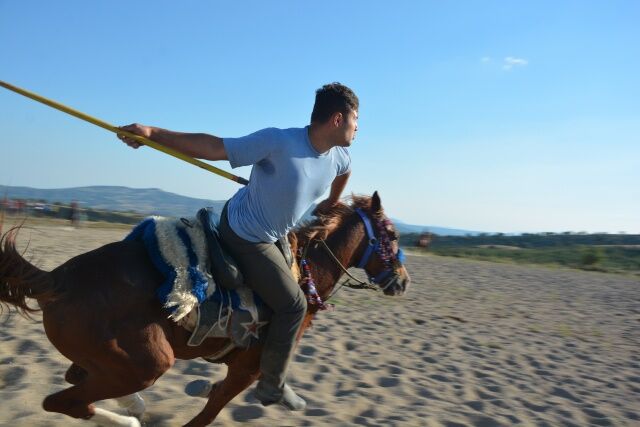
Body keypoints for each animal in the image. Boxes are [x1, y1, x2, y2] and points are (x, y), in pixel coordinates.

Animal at [0, 191, 410, 426]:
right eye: (391, 236)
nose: (403, 280)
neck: (305, 271)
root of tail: (58, 278)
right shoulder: (248, 369)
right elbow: (211, 410)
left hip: (112, 360)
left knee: (74, 383)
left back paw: (133, 407)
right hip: (146, 363)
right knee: (64, 401)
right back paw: (129, 417)